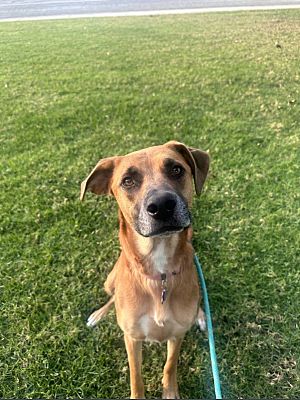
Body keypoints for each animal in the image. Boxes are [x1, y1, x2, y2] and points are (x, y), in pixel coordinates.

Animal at [81, 141, 210, 400]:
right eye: (128, 181)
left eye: (176, 170)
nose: (161, 206)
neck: (159, 275)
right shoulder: (132, 338)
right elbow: (136, 376)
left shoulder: (177, 334)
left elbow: (170, 365)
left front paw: (170, 393)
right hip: (109, 280)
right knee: (112, 297)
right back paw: (98, 314)